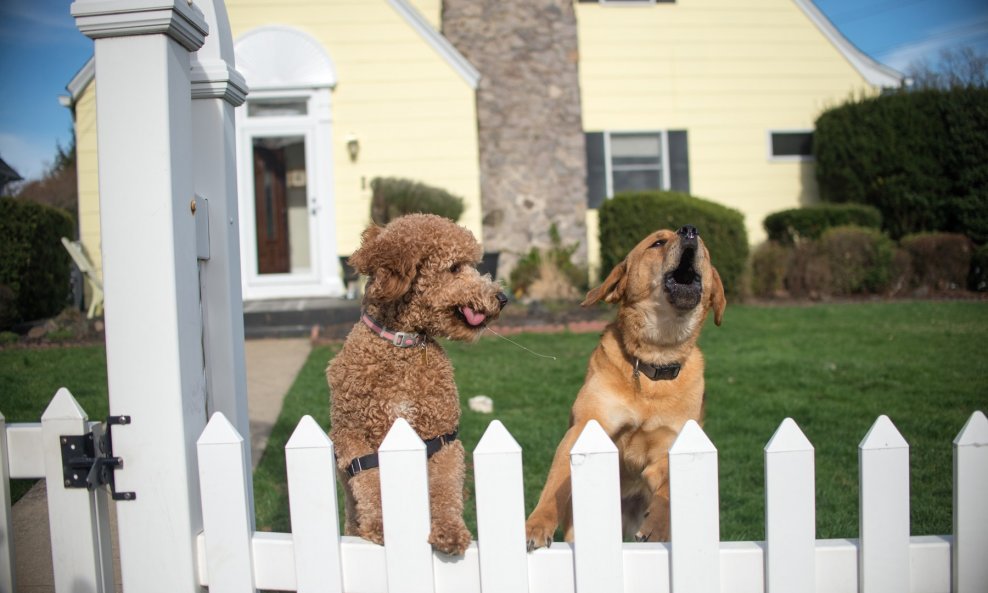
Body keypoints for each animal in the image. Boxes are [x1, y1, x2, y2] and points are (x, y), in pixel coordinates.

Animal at [328, 214, 506, 556]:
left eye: (474, 264)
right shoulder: (352, 435)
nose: (503, 298)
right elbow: (369, 480)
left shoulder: (442, 436)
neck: (401, 347)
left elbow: (445, 487)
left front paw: (449, 530)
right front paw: (380, 526)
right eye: (455, 267)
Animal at [524, 224, 724, 548]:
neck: (653, 363)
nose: (690, 230)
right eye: (658, 243)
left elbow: (666, 488)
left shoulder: (670, 446)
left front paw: (657, 524)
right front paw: (537, 524)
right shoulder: (584, 427)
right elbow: (554, 485)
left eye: (705, 251)